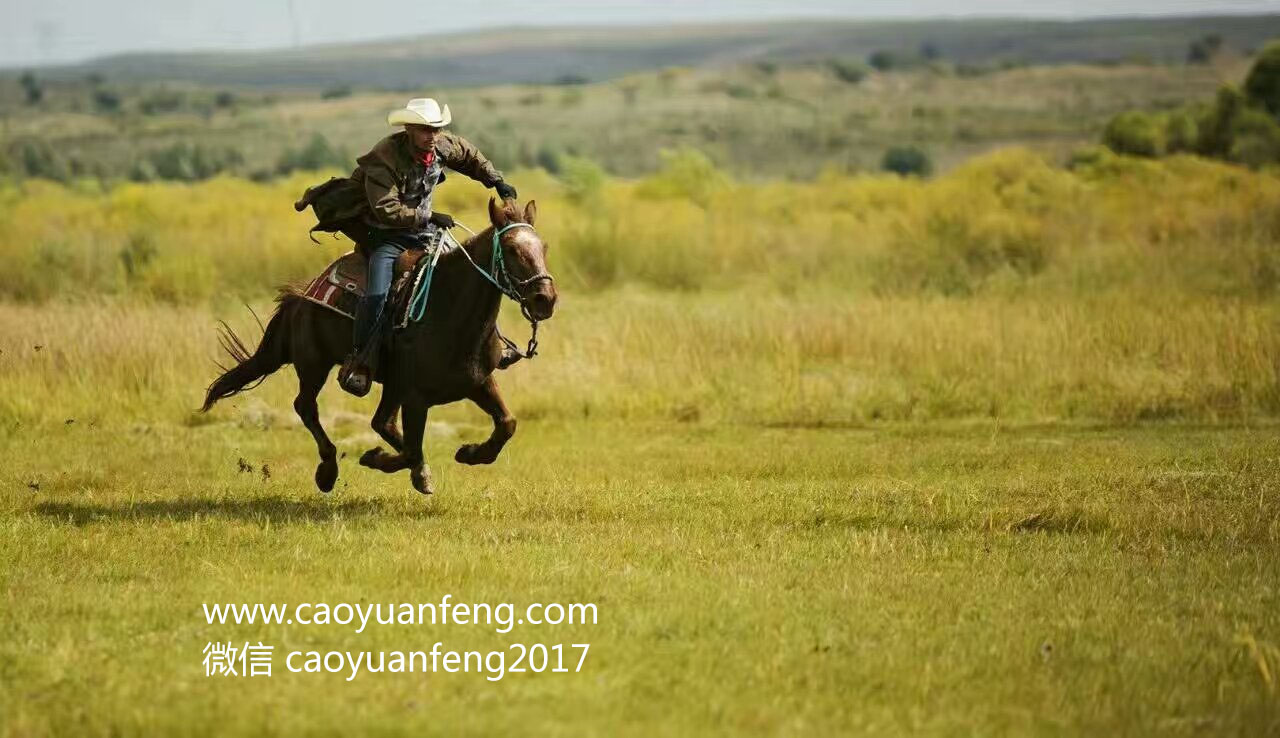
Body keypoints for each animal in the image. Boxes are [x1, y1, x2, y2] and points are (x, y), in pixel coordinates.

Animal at [199, 198, 555, 491]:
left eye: (543, 248)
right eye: (511, 249)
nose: (545, 299)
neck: (449, 308)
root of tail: (300, 297)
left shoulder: (477, 381)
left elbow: (507, 424)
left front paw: (469, 453)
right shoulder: (415, 396)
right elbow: (410, 448)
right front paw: (380, 460)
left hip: (386, 383)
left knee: (381, 423)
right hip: (315, 364)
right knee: (307, 406)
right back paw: (328, 471)